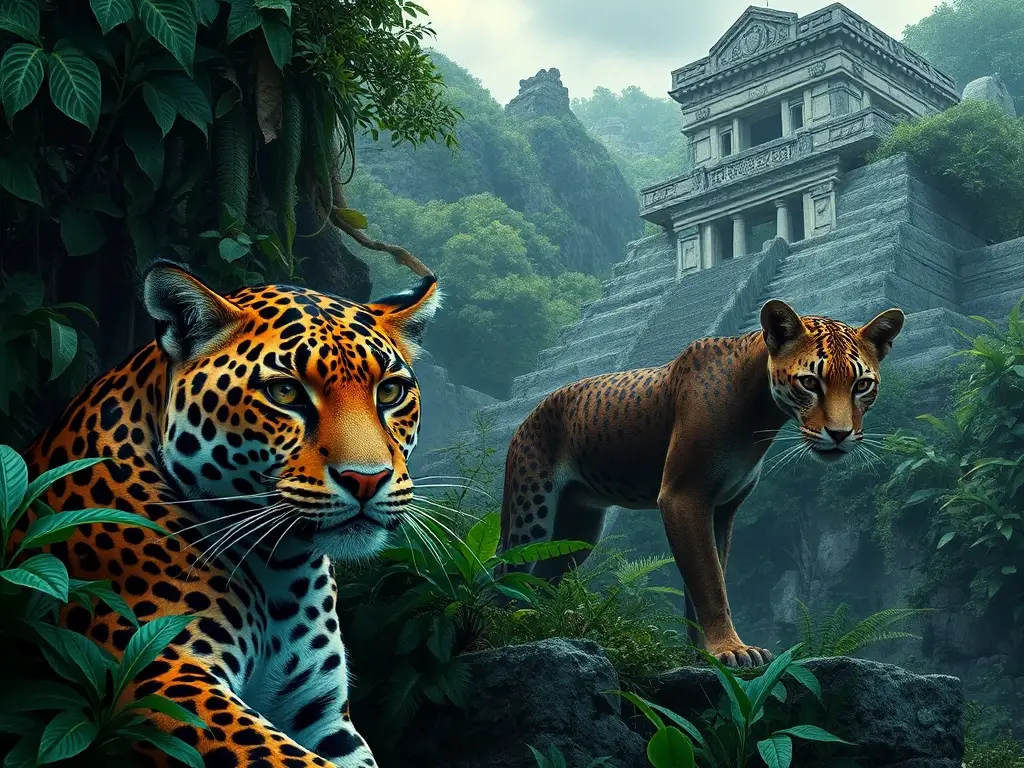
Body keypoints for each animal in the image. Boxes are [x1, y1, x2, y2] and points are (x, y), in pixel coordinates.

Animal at [11, 260, 441, 767]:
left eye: (390, 392)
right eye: (285, 392)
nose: (367, 479)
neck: (281, 566)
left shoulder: (322, 715)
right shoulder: (160, 672)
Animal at [500, 299, 905, 668]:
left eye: (862, 385)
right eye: (809, 382)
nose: (840, 434)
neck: (759, 414)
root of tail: (527, 418)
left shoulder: (722, 509)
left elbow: (709, 578)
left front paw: (703, 655)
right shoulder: (683, 496)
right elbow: (708, 581)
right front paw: (730, 650)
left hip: (578, 533)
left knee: (543, 578)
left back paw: (537, 624)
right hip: (530, 516)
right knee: (507, 571)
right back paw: (506, 626)